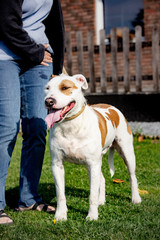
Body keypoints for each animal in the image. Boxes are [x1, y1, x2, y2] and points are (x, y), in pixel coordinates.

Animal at [44, 73, 141, 221]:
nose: (48, 101)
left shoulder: (92, 164)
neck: (70, 125)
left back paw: (135, 198)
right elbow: (60, 194)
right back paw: (101, 200)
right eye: (47, 88)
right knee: (102, 178)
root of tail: (110, 106)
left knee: (132, 176)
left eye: (65, 87)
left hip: (127, 153)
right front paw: (60, 215)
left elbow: (92, 194)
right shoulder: (57, 165)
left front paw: (92, 215)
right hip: (97, 162)